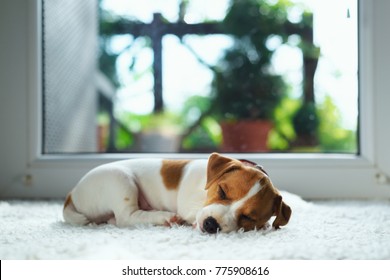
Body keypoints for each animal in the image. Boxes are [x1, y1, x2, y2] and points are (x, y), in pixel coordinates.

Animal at [62, 152, 290, 233]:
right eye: (222, 191)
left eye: (249, 217)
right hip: (120, 180)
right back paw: (165, 217)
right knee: (126, 217)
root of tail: (71, 194)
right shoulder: (190, 206)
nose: (211, 225)